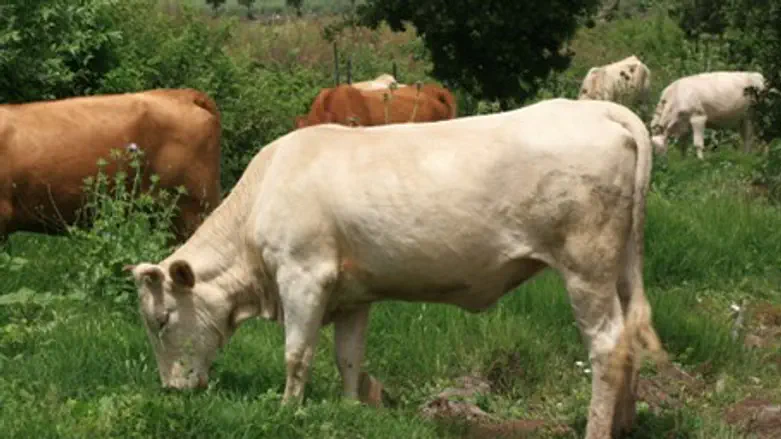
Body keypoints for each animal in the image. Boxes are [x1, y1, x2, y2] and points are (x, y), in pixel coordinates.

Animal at [127, 98, 667, 439]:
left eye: (162, 320)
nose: (171, 390)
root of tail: (599, 108)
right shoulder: (352, 291)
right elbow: (348, 356)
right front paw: (349, 408)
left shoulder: (304, 276)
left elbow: (297, 354)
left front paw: (286, 411)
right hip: (620, 266)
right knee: (629, 339)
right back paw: (624, 423)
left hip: (586, 265)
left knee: (608, 346)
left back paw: (598, 429)